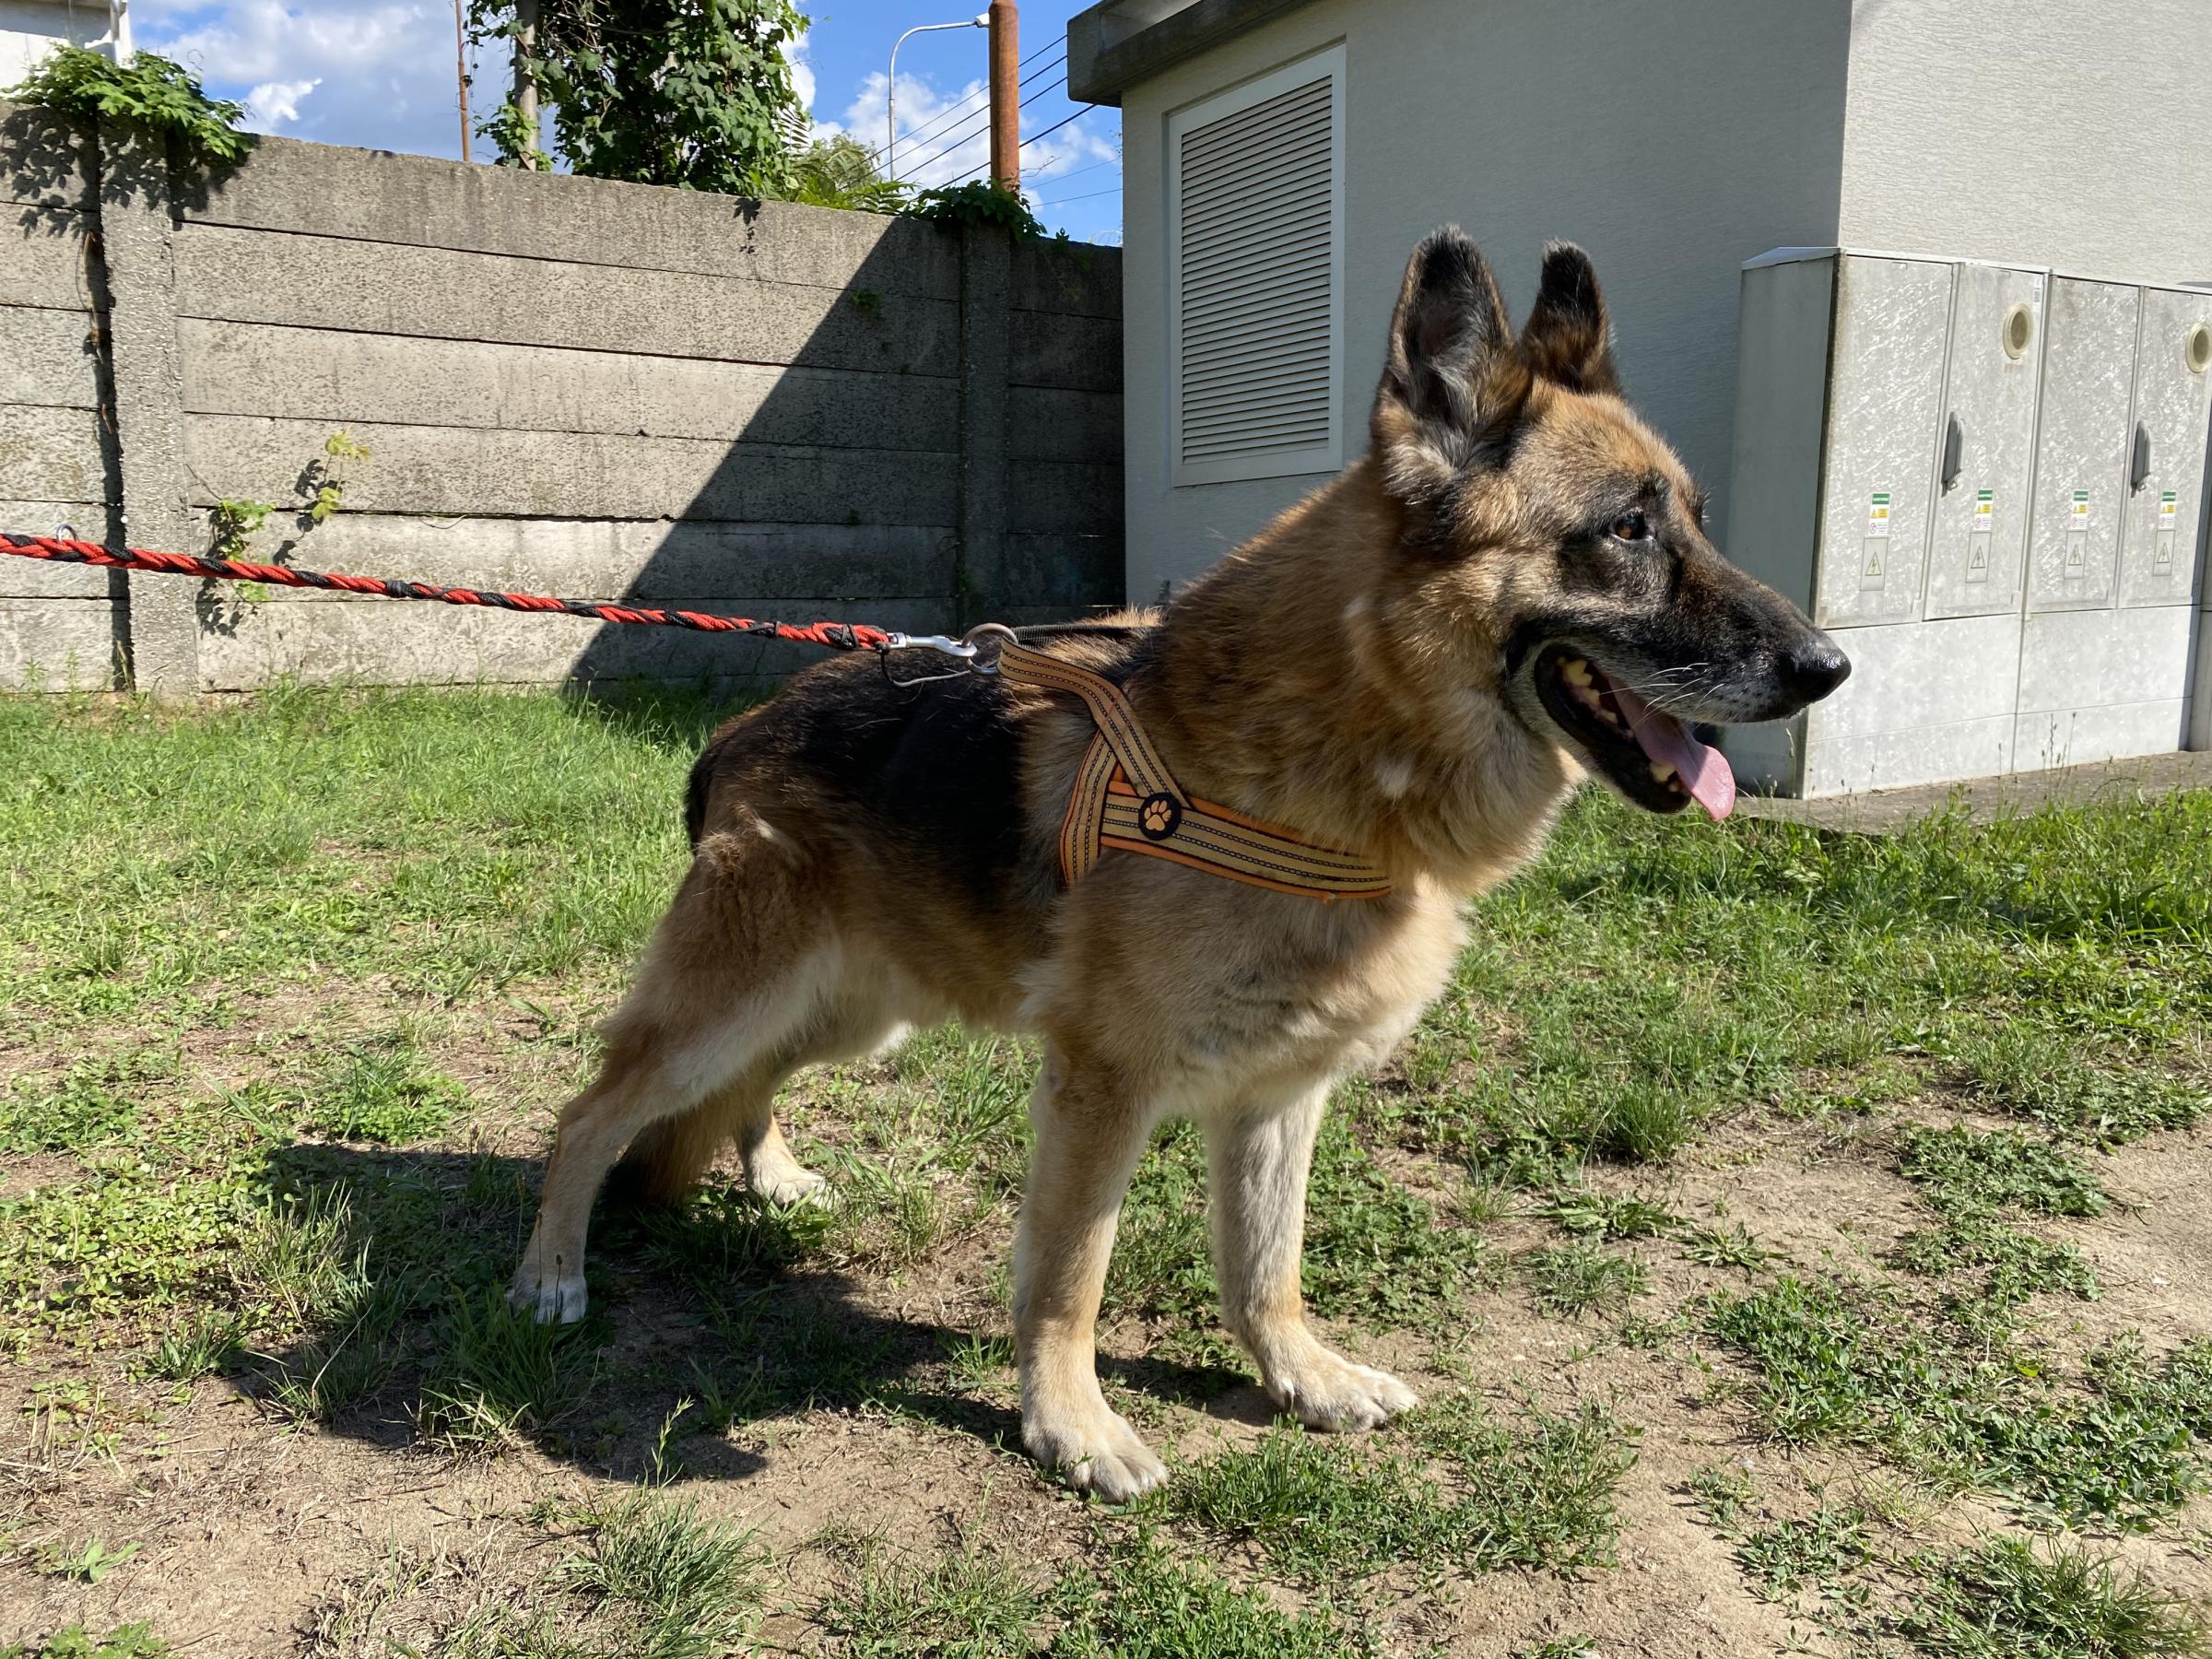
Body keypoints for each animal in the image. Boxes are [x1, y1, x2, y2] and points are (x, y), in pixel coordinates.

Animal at [510, 229, 1849, 1499]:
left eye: (1695, 520)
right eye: (1626, 530)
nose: (1829, 667)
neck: (1336, 755)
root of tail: (741, 729)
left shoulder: (1279, 1093)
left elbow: (1268, 1264)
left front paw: (1299, 1376)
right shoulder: (1105, 1087)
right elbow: (1071, 1276)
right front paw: (1069, 1426)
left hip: (852, 1010)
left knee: (751, 1083)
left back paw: (771, 1176)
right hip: (735, 1003)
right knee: (589, 1114)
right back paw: (550, 1273)